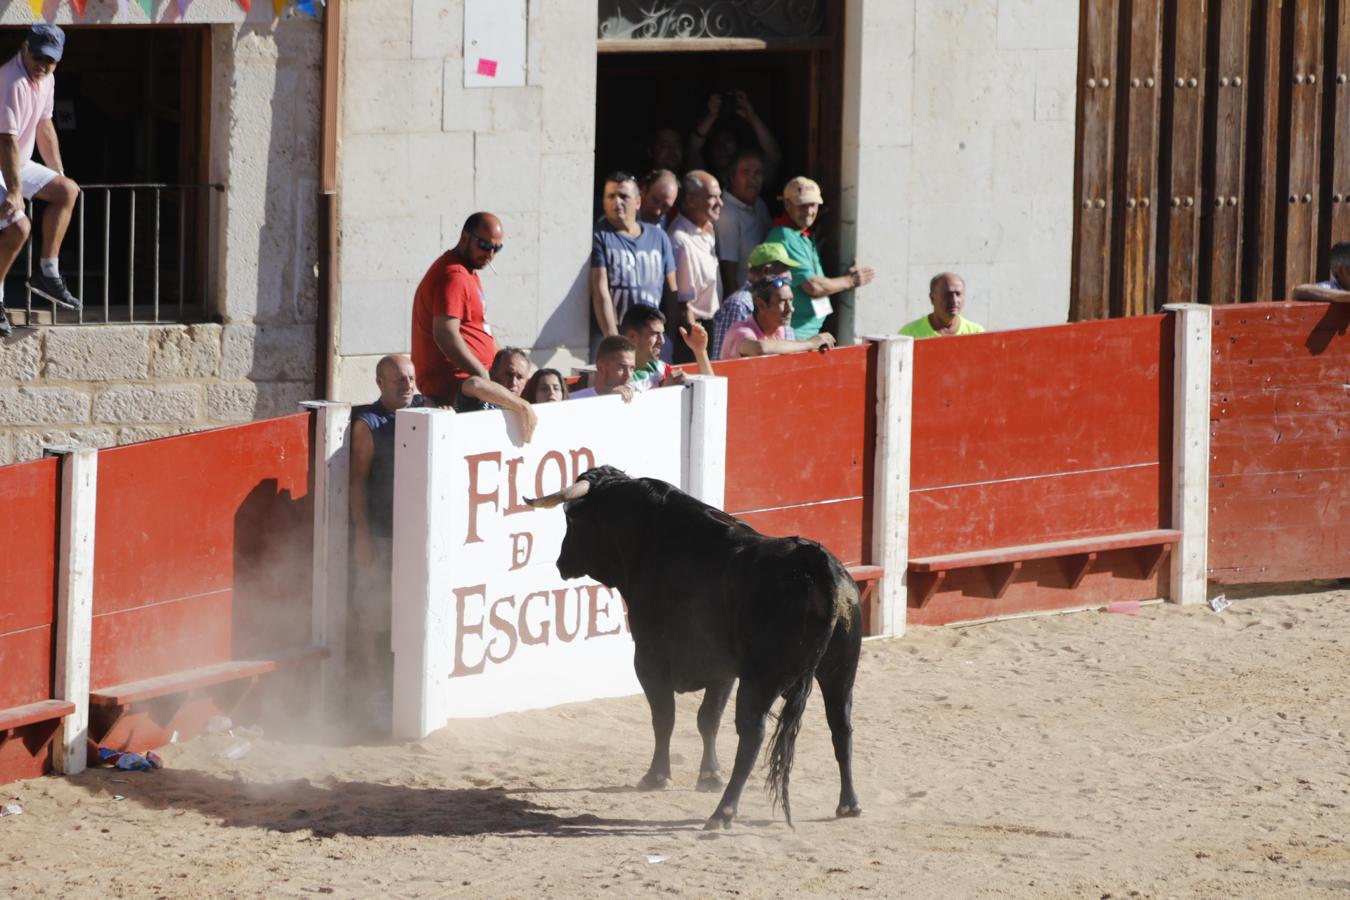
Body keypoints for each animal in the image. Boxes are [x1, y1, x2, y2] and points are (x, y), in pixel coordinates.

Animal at [526, 469, 864, 825]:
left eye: (572, 521)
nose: (561, 562)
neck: (651, 536)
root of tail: (818, 566)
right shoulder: (723, 671)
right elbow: (708, 719)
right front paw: (709, 775)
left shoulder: (649, 659)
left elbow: (664, 717)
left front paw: (656, 776)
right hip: (841, 670)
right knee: (841, 726)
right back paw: (848, 804)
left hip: (762, 678)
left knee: (753, 734)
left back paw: (723, 812)